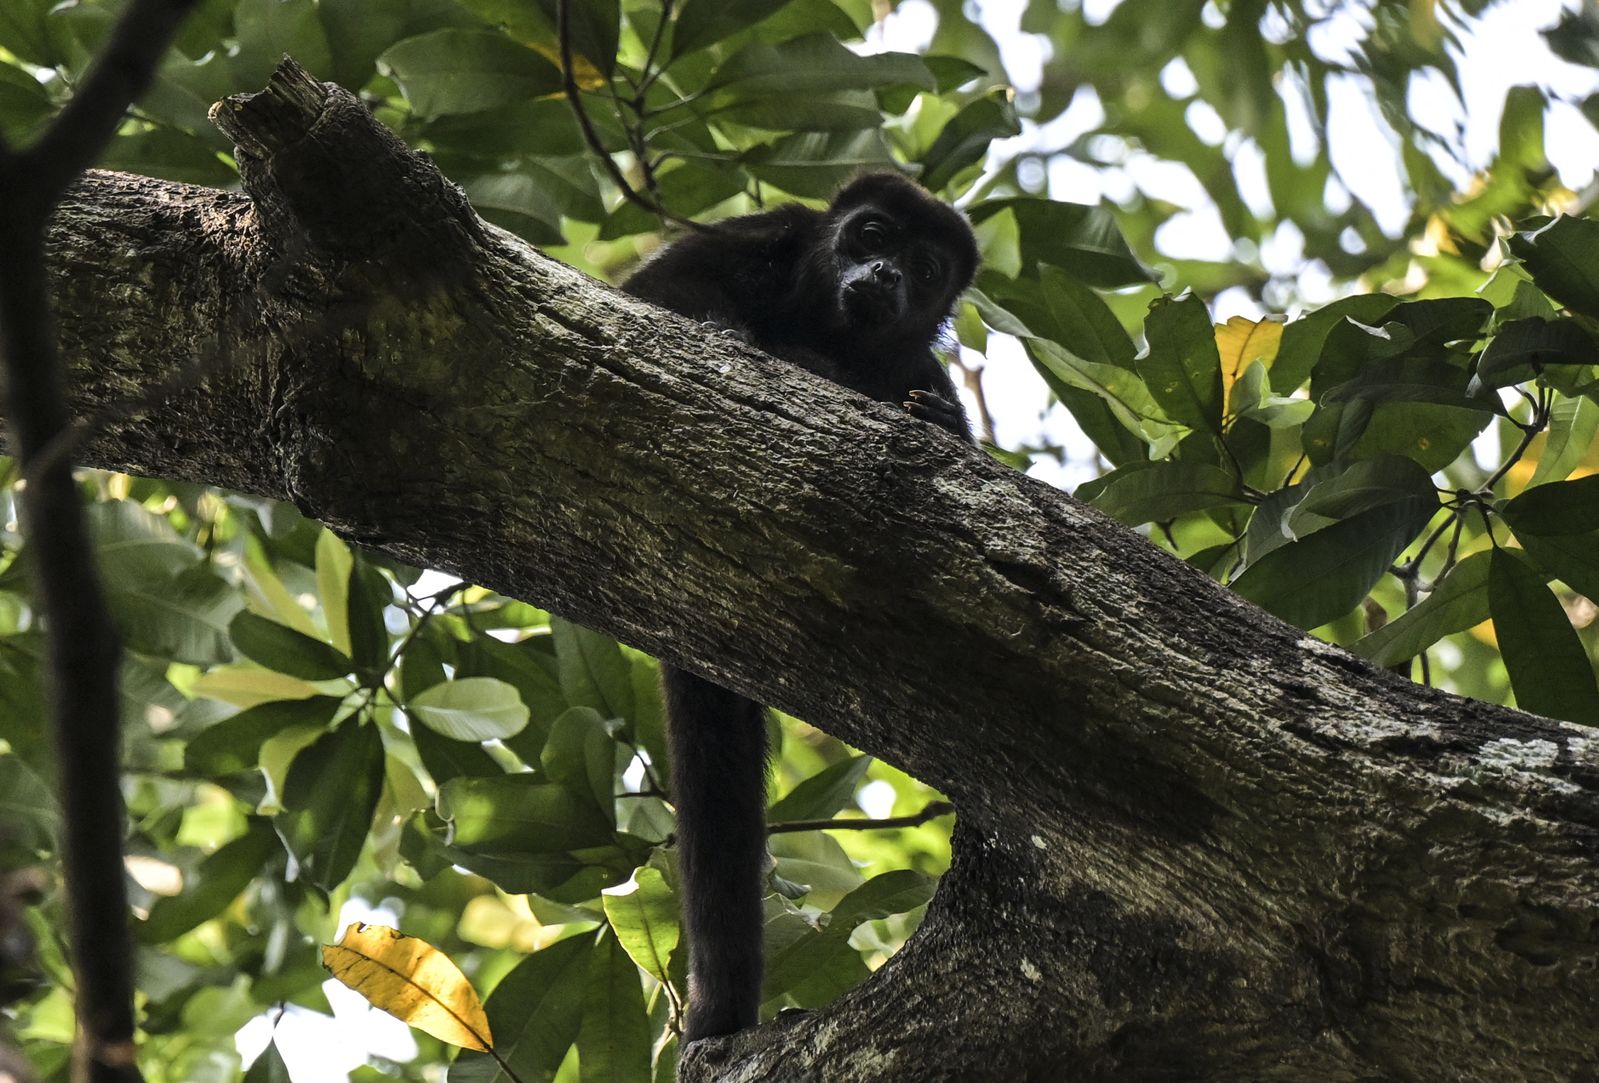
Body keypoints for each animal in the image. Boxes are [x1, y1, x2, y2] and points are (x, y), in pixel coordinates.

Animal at [620, 171, 972, 1036]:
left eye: (924, 267)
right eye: (871, 235)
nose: (884, 274)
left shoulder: (920, 362)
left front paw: (931, 419)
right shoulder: (763, 233)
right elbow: (647, 293)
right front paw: (732, 331)